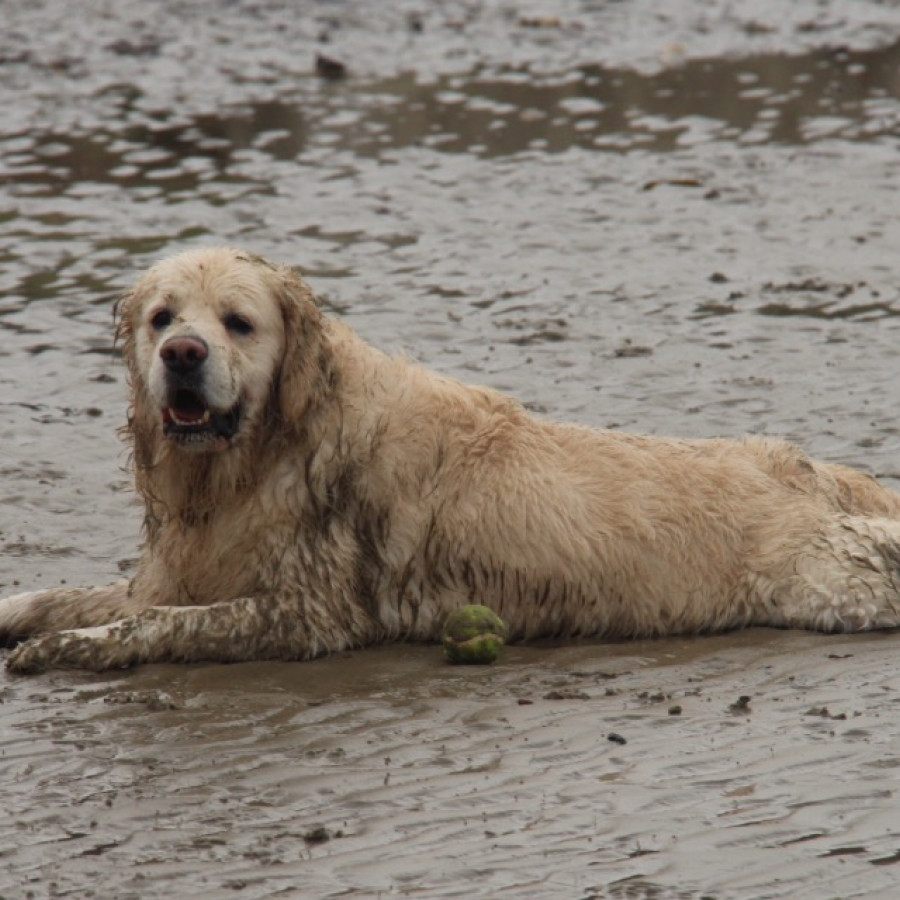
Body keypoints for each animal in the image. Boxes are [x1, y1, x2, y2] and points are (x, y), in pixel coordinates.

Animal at [1, 243, 900, 672]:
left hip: (836, 578)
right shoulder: (179, 571)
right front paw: (27, 615)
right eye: (162, 317)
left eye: (238, 322)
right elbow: (79, 597)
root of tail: (806, 465)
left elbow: (154, 622)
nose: (183, 355)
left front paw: (70, 651)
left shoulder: (305, 613)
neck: (261, 453)